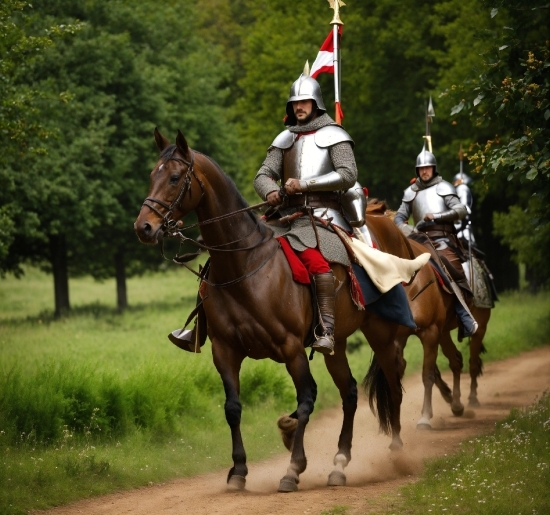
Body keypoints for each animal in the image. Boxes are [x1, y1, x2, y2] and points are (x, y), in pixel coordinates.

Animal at [135, 129, 410, 492]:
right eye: (152, 175)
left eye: (175, 178)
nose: (144, 228)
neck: (245, 265)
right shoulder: (225, 351)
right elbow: (233, 408)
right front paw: (238, 470)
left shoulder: (292, 349)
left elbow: (306, 399)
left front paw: (293, 468)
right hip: (335, 345)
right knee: (350, 392)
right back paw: (339, 464)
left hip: (380, 333)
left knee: (392, 382)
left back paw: (397, 452)